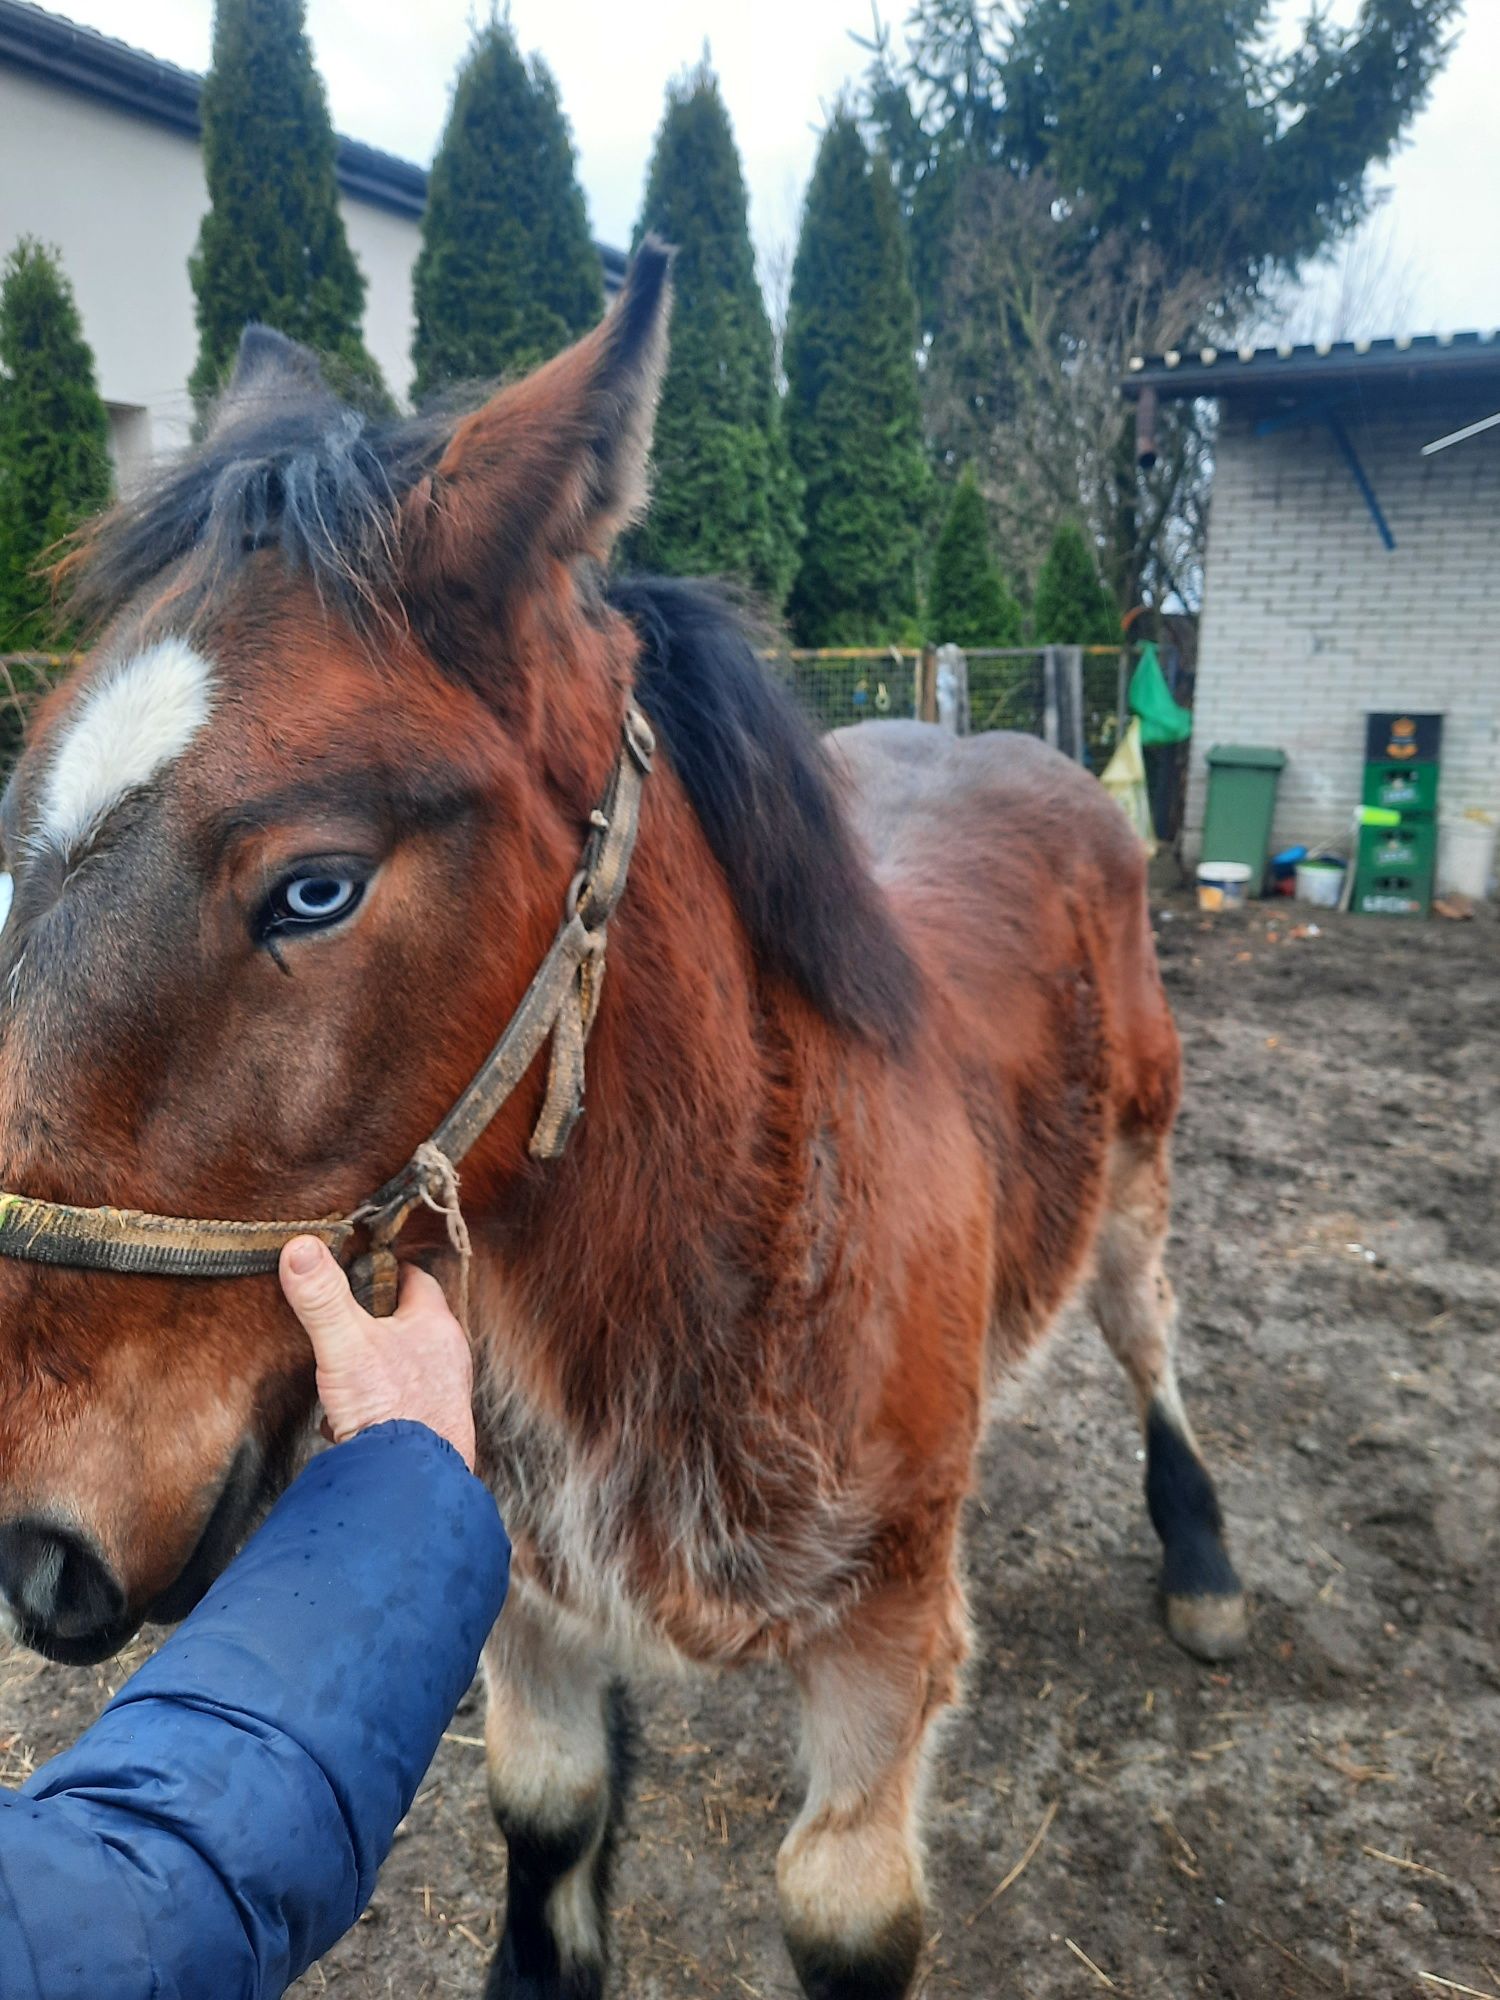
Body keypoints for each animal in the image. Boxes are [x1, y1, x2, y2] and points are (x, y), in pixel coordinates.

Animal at [0, 254, 1248, 2000]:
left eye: (315, 888)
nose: (34, 1544)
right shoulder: (521, 1596)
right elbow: (550, 1823)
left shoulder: (882, 1645)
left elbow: (846, 1916)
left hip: (1136, 1171)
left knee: (1148, 1334)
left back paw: (1201, 1561)